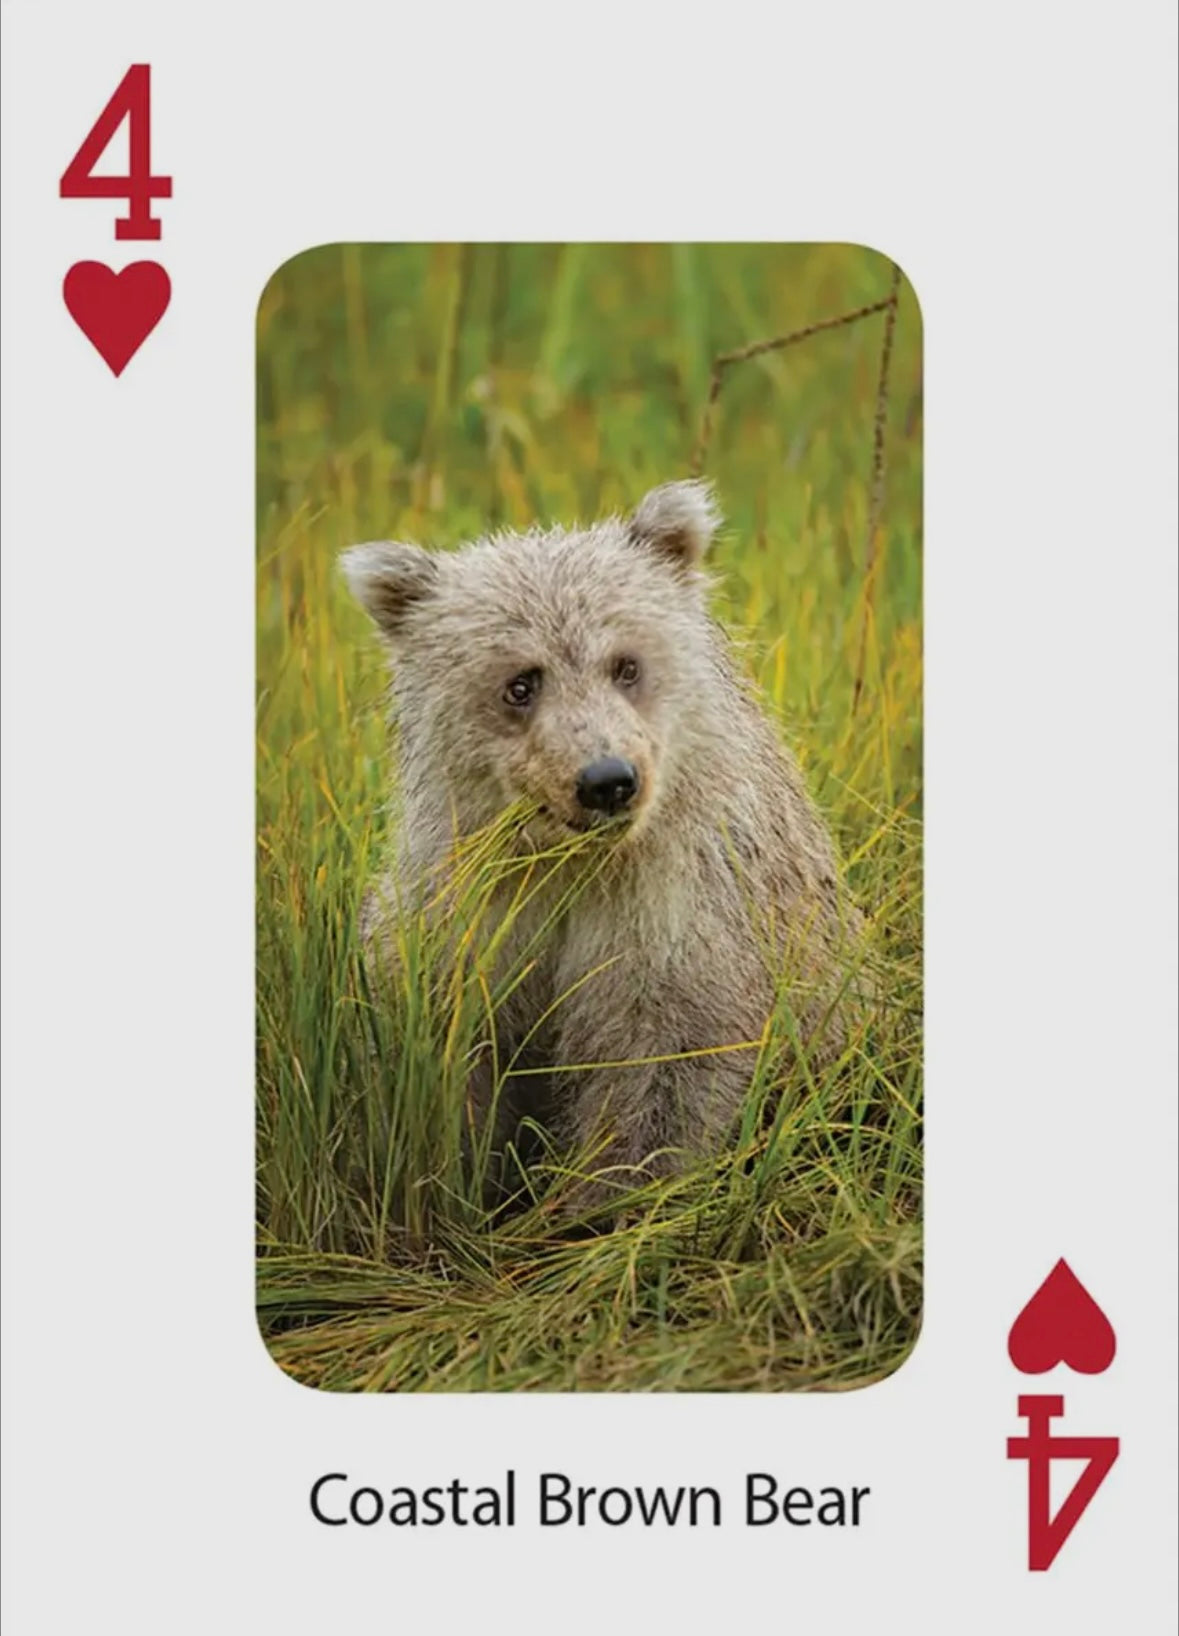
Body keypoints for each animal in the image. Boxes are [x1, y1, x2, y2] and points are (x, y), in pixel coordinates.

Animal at [342, 480, 863, 1208]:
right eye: (521, 683)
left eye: (625, 665)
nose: (606, 781)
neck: (571, 866)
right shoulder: (466, 912)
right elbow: (449, 1059)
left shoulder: (676, 915)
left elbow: (658, 1065)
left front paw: (607, 1199)